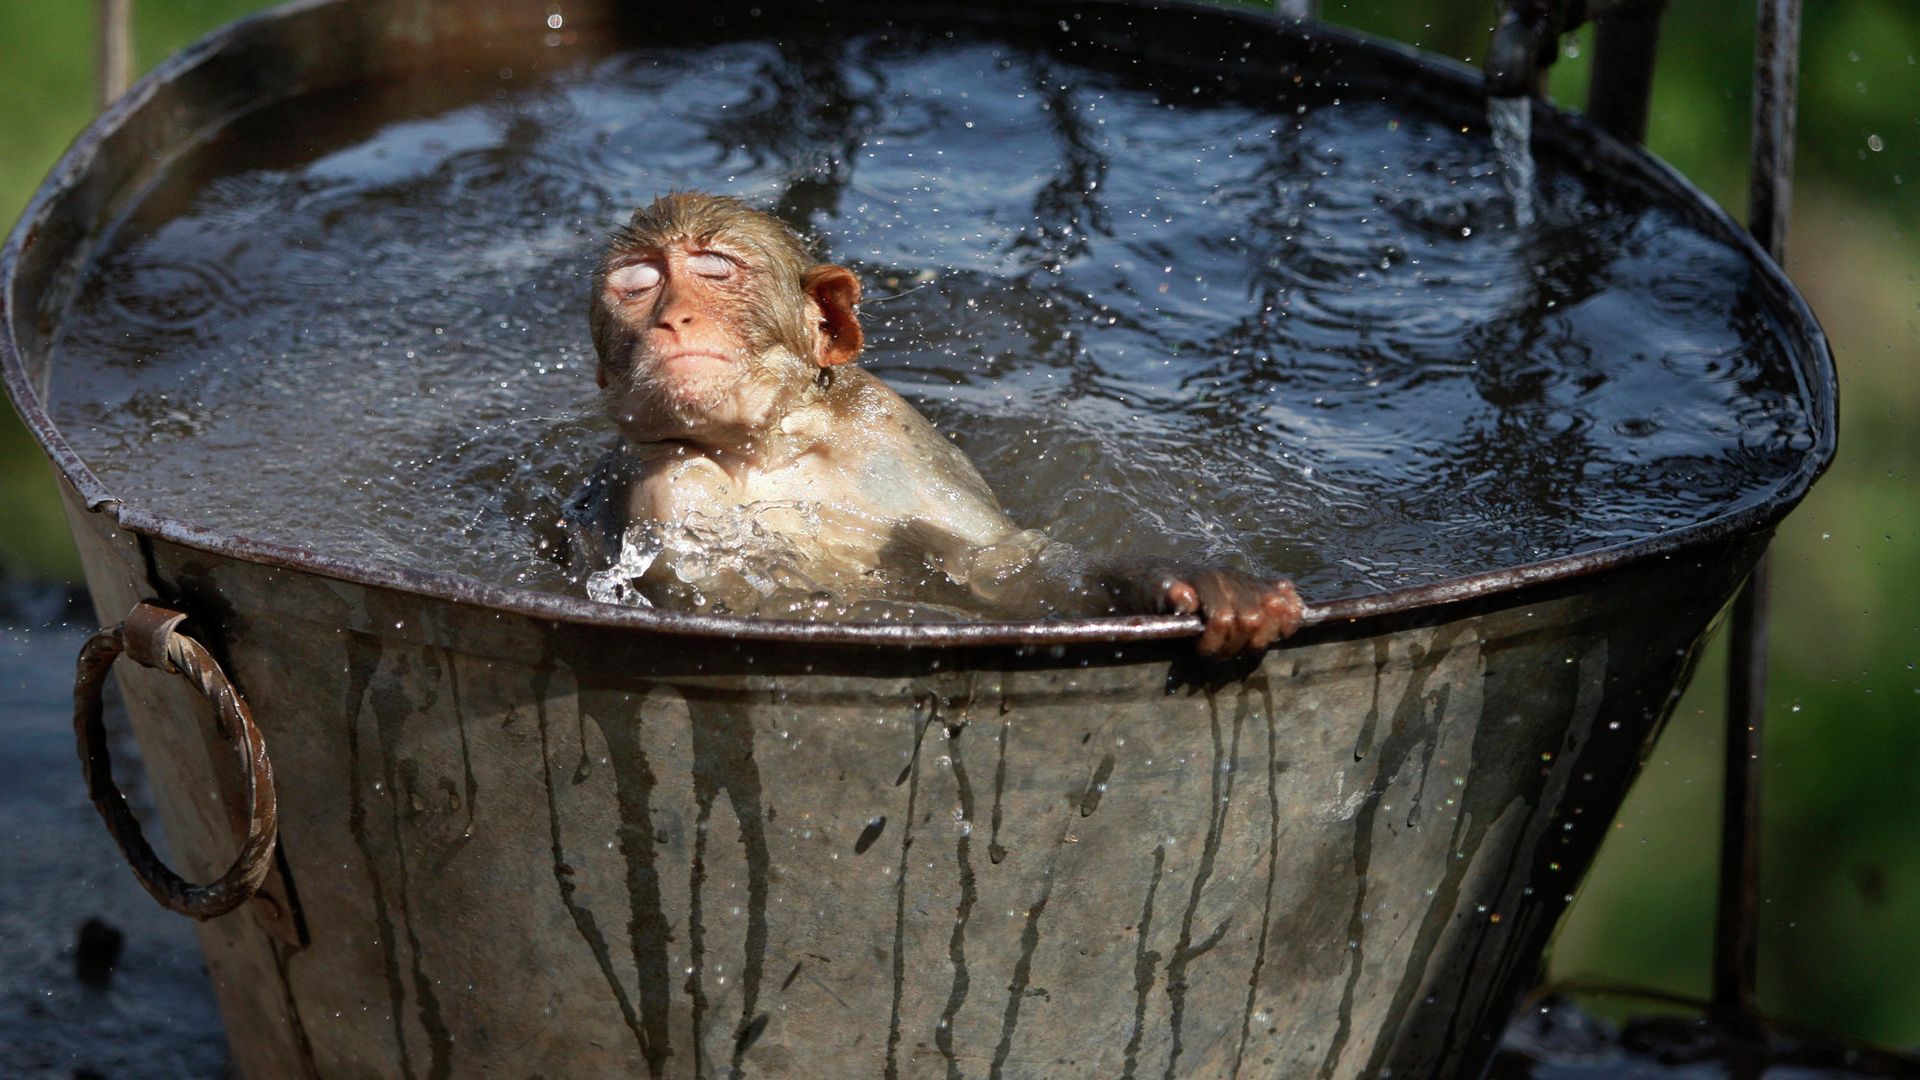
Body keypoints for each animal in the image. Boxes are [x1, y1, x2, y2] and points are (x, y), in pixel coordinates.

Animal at [563, 192, 1303, 658]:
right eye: (637, 286)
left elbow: (1001, 564)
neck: (767, 450)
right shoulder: (666, 483)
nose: (672, 317)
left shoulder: (888, 432)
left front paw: (1185, 582)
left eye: (716, 270)